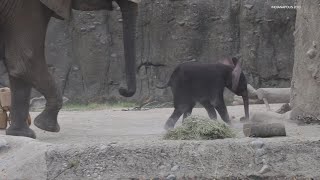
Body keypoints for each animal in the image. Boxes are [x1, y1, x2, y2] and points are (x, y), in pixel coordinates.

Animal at [0, 0, 139, 139]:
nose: (122, 89)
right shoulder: (26, 6)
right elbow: (26, 60)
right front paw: (45, 126)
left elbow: (17, 66)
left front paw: (22, 134)